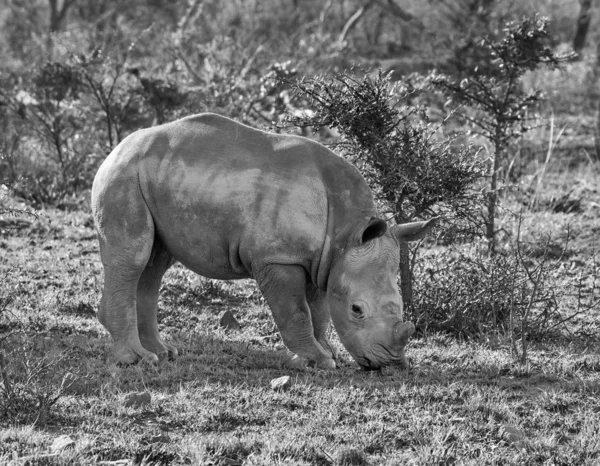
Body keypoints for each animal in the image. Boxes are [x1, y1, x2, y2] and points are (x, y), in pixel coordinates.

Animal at [90, 111, 436, 370]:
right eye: (357, 310)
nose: (391, 364)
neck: (346, 231)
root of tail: (117, 148)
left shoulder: (321, 259)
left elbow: (319, 309)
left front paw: (327, 354)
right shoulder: (278, 256)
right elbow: (296, 310)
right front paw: (317, 361)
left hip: (154, 177)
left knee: (154, 265)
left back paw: (164, 354)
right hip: (124, 176)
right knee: (135, 258)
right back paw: (138, 360)